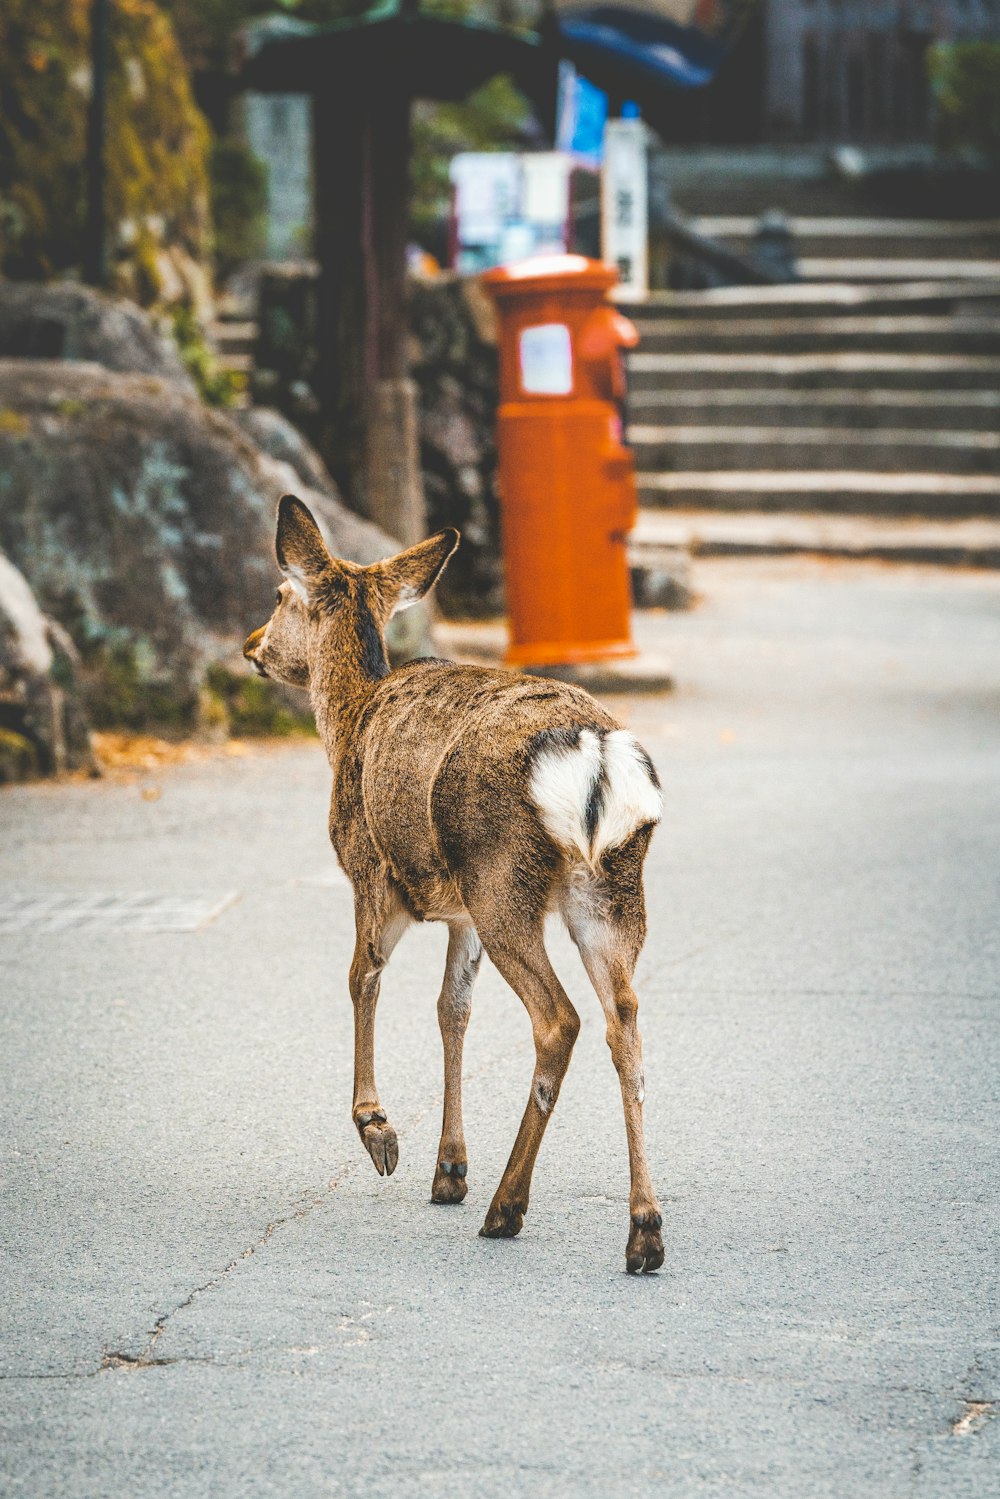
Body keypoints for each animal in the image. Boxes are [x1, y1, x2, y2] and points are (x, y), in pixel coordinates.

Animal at [242, 497, 665, 1271]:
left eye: (282, 594)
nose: (251, 641)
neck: (346, 723)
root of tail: (596, 756)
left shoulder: (369, 868)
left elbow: (362, 978)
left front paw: (379, 1130)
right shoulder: (458, 910)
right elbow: (452, 1009)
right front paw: (449, 1167)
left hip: (504, 879)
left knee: (560, 1019)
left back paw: (508, 1206)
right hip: (609, 892)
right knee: (625, 1023)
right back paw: (643, 1230)